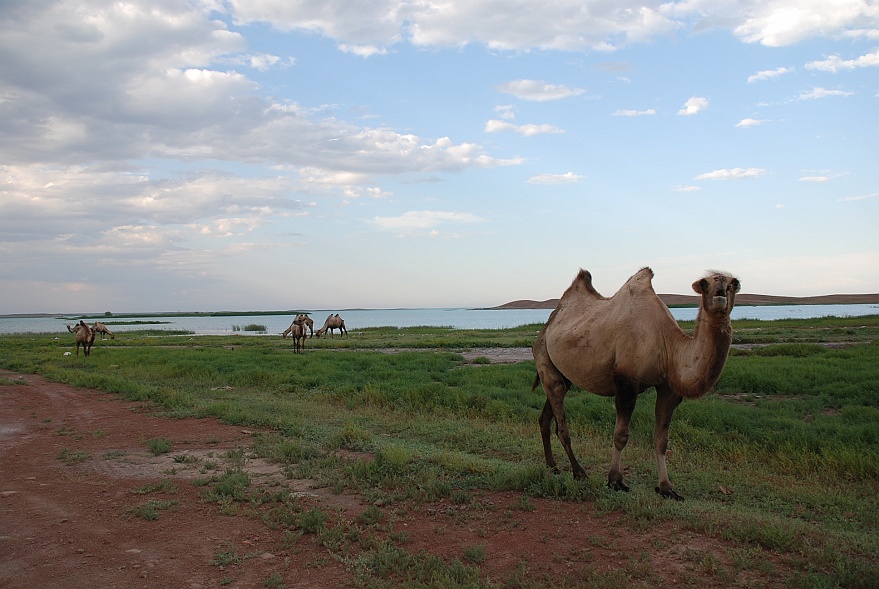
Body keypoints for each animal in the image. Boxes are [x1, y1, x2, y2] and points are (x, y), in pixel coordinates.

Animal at [532, 266, 740, 500]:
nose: (721, 290)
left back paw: (552, 466)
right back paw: (579, 472)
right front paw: (615, 480)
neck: (668, 346)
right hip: (543, 355)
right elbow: (621, 435)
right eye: (704, 283)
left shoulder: (668, 389)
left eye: (734, 283)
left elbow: (662, 440)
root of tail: (549, 324)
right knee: (560, 417)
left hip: (563, 374)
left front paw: (667, 488)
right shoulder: (626, 384)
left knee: (546, 415)